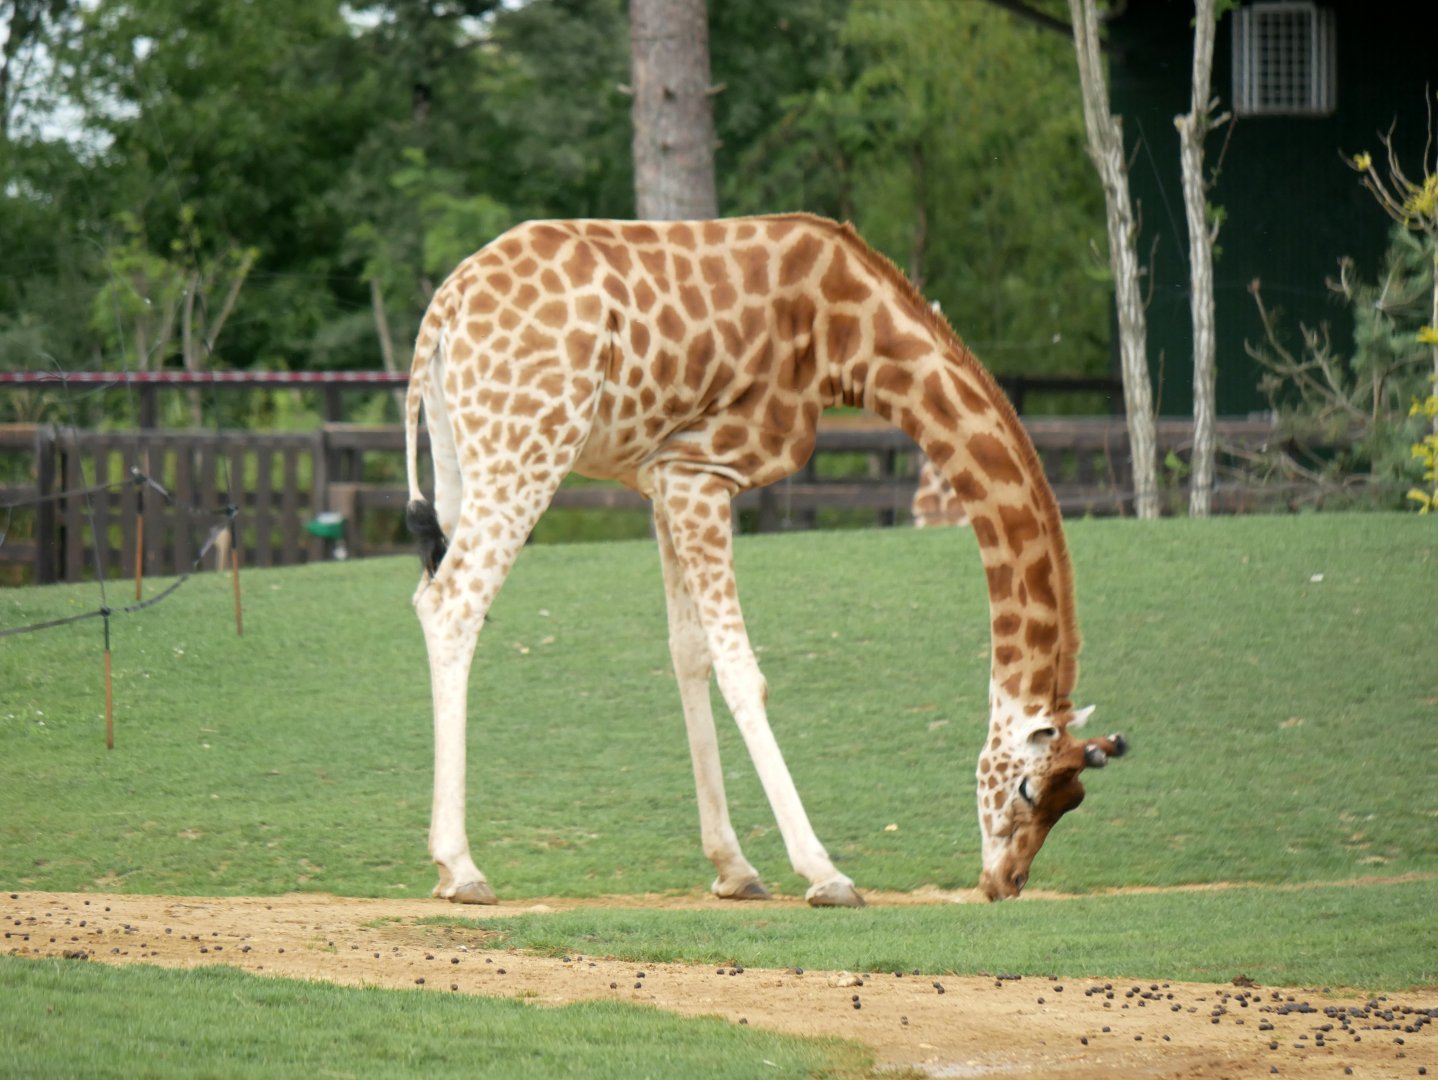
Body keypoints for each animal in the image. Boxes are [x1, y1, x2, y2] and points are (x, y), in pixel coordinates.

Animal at [404, 213, 1127, 908]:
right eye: (1029, 790)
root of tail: (445, 305)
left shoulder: (662, 476)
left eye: (1073, 801)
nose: (1006, 882)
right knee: (452, 604)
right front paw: (825, 874)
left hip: (461, 457)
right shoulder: (702, 471)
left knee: (433, 591)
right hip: (528, 449)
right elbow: (740, 671)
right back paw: (461, 868)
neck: (849, 337)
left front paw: (734, 869)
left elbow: (688, 652)